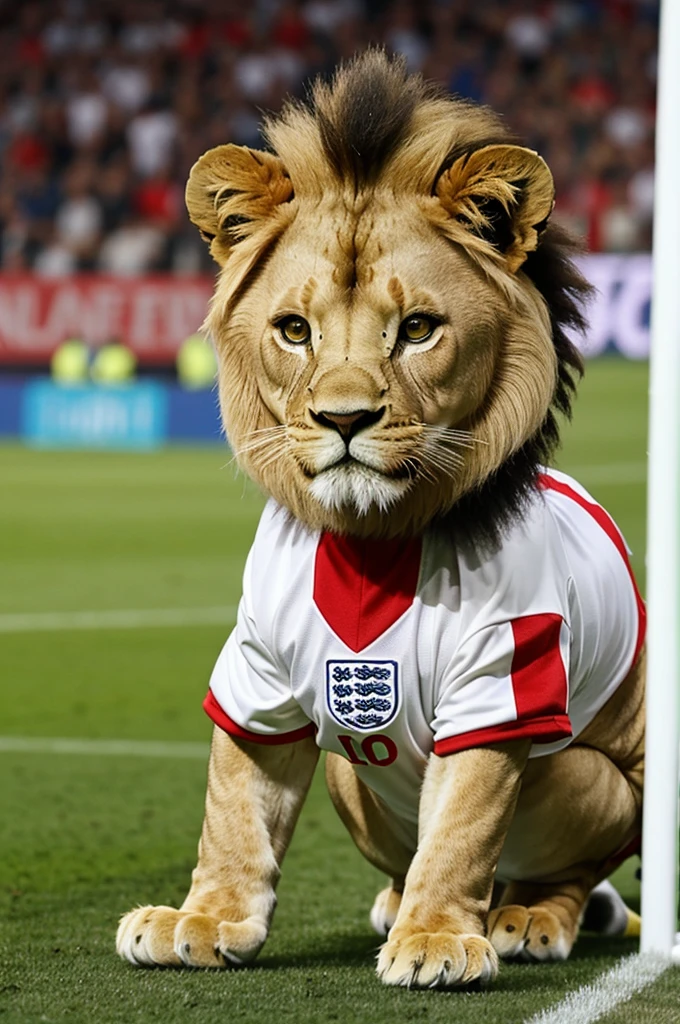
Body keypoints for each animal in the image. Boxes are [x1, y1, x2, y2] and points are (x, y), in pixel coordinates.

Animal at [115, 51, 643, 987]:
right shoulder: (254, 677)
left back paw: (528, 917)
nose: (345, 419)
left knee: (563, 870)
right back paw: (397, 902)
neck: (373, 540)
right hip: (351, 782)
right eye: (294, 331)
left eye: (419, 329)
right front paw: (203, 919)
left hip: (587, 777)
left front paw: (437, 938)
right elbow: (234, 805)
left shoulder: (504, 676)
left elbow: (463, 823)